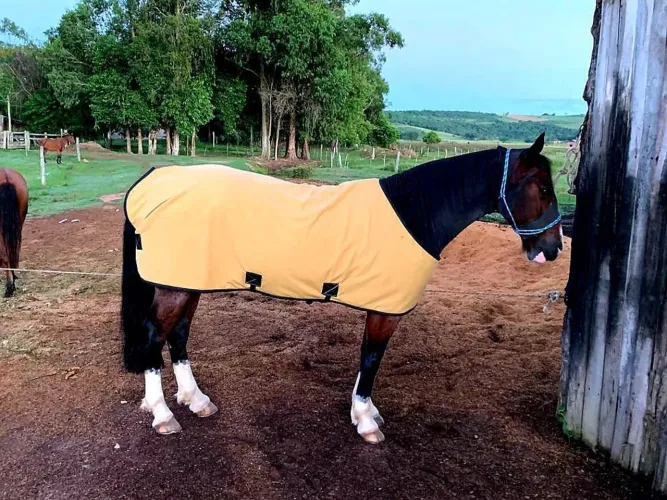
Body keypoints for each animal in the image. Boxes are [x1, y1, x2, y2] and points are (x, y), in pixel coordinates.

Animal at [120, 133, 563, 444]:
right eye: (543, 188)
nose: (553, 249)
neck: (414, 214)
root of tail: (153, 180)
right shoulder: (385, 311)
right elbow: (372, 359)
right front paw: (366, 422)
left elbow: (367, 358)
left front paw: (363, 411)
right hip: (175, 287)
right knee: (153, 338)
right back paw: (163, 415)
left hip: (184, 282)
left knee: (178, 336)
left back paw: (196, 401)